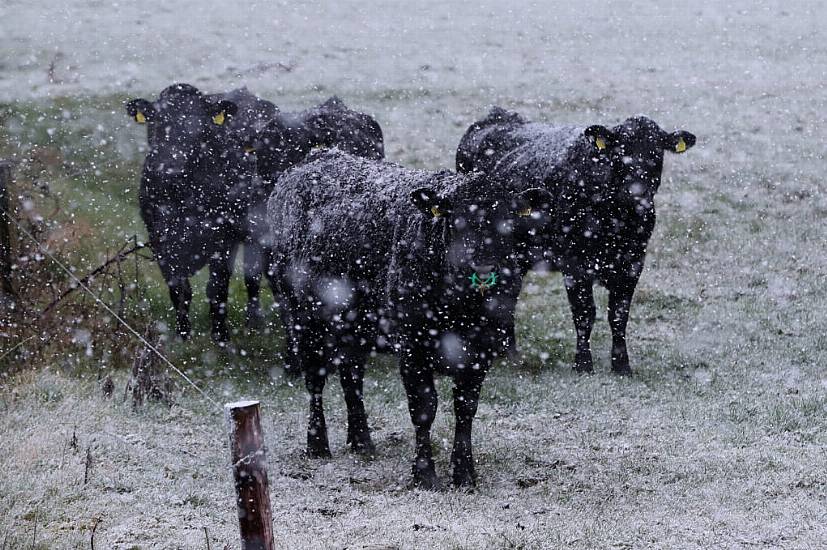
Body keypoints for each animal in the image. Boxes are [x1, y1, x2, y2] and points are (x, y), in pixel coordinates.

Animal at [124, 84, 272, 342]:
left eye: (200, 126)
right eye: (157, 121)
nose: (170, 166)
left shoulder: (224, 238)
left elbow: (217, 288)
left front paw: (221, 336)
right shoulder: (159, 238)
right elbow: (179, 289)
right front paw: (183, 334)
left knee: (252, 277)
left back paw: (254, 322)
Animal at [268, 149, 552, 490]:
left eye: (507, 222)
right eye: (455, 220)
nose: (483, 270)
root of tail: (318, 156)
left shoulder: (482, 346)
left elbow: (466, 407)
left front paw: (464, 473)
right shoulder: (412, 344)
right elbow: (424, 407)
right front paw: (425, 474)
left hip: (353, 326)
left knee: (352, 376)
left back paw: (362, 441)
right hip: (302, 318)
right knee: (316, 378)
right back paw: (317, 444)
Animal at [456, 108, 696, 376]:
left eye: (656, 153)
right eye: (619, 152)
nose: (636, 192)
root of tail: (497, 115)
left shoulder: (633, 263)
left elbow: (619, 315)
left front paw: (621, 364)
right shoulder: (574, 264)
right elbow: (584, 313)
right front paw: (582, 363)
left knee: (506, 297)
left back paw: (508, 353)